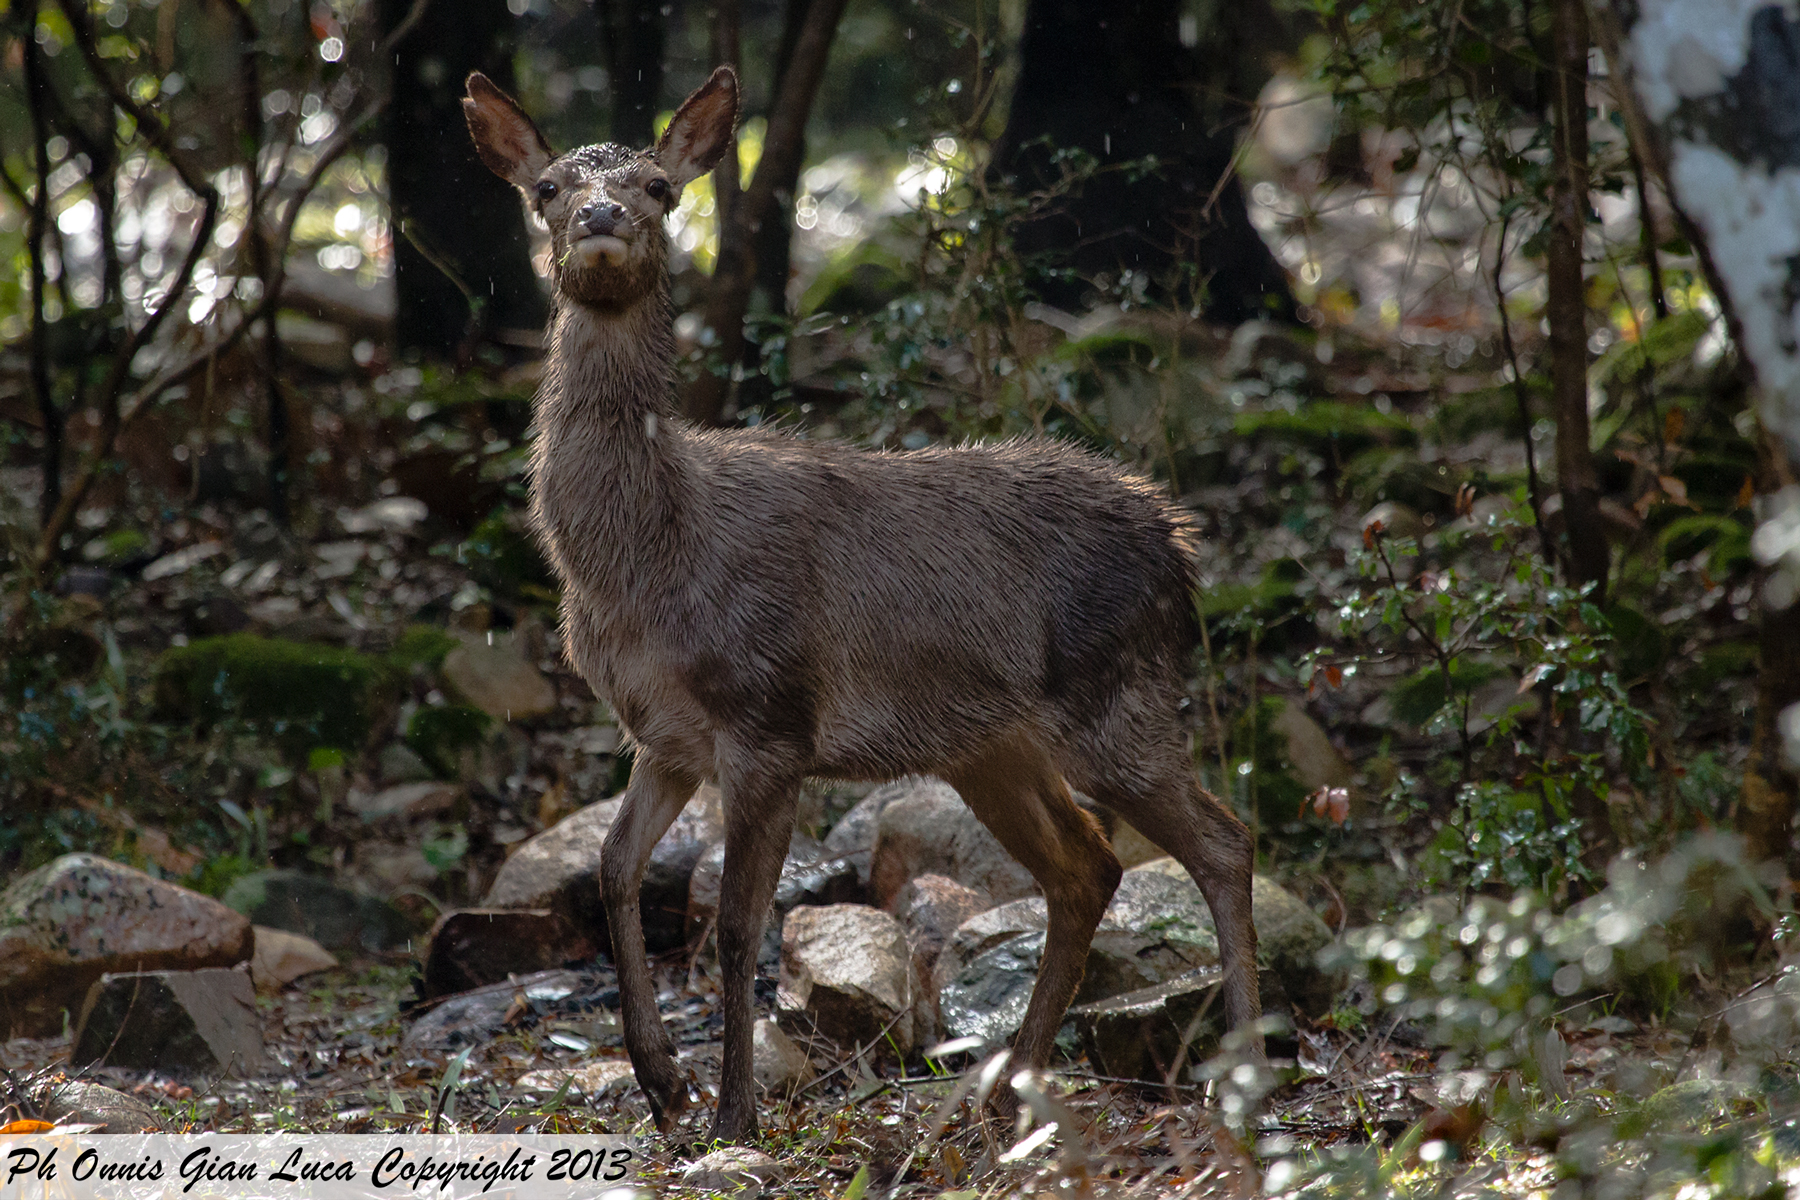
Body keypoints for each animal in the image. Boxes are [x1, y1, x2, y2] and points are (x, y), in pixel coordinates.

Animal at [462, 65, 1261, 1144]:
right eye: (546, 187)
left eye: (659, 187)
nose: (598, 218)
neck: (644, 563)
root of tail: (1180, 545)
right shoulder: (664, 734)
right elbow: (615, 870)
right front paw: (662, 1085)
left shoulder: (771, 719)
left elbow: (738, 927)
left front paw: (734, 1116)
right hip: (990, 744)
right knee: (1087, 866)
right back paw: (1009, 1087)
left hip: (1116, 695)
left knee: (1223, 840)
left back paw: (1249, 1073)